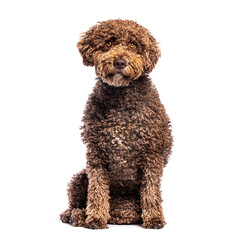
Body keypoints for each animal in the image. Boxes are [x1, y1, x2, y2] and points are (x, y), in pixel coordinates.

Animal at [59, 18, 172, 229]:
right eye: (109, 43)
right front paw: (95, 218)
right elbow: (97, 190)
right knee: (76, 201)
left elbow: (151, 191)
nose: (120, 62)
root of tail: (121, 215)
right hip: (80, 176)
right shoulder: (96, 154)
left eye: (133, 45)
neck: (121, 97)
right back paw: (76, 214)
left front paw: (153, 218)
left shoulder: (152, 154)